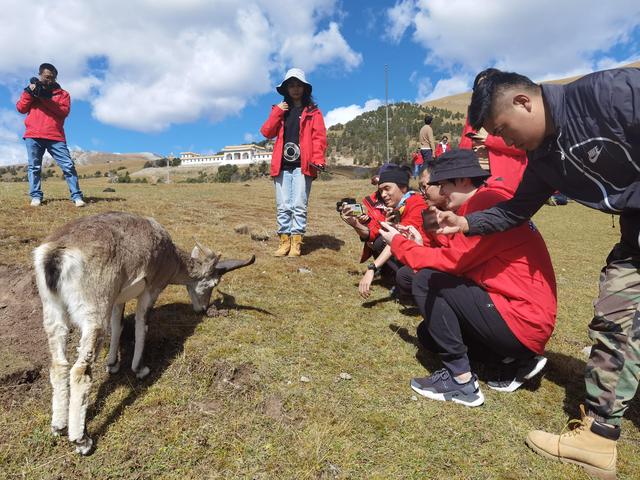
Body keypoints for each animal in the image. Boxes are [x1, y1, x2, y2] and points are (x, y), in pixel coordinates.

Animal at [31, 211, 254, 454]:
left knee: (58, 364)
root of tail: (55, 255)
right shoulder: (151, 288)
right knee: (80, 370)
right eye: (213, 282)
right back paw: (82, 440)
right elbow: (141, 325)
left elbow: (118, 325)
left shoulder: (118, 298)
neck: (169, 256)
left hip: (52, 309)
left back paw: (59, 426)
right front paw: (140, 369)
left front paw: (113, 364)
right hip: (94, 309)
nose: (203, 308)